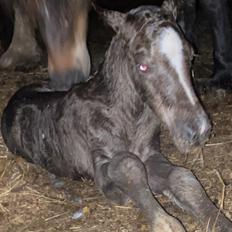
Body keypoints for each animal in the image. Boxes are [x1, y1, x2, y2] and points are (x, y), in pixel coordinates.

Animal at [0, 0, 231, 231]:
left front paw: (220, 222)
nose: (199, 130)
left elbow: (182, 177)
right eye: (143, 65)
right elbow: (126, 165)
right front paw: (165, 222)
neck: (126, 117)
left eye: (191, 56)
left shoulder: (151, 154)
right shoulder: (101, 166)